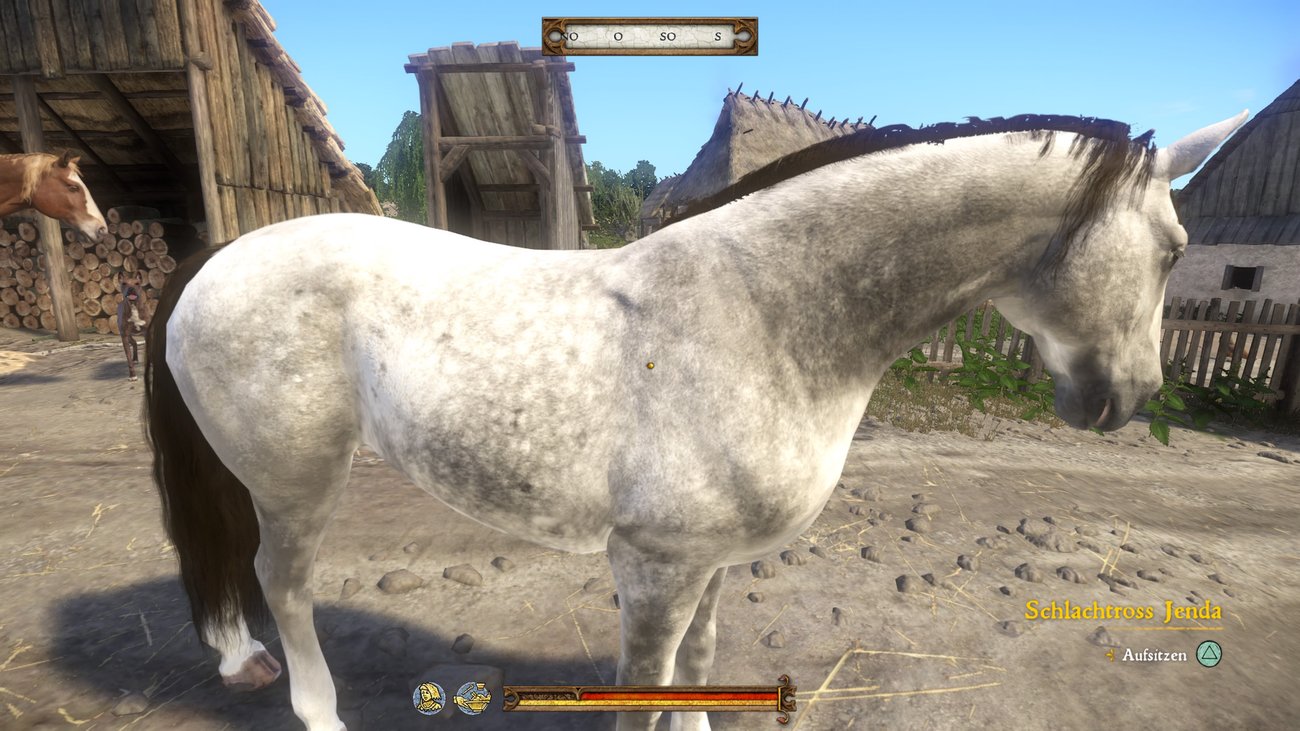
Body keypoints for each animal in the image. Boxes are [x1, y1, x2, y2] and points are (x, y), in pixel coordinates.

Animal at [144, 111, 1247, 731]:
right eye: (1171, 247)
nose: (1125, 399)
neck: (765, 313)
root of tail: (216, 256)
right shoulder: (655, 565)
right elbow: (645, 685)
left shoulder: (711, 559)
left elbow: (701, 669)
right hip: (297, 479)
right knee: (282, 581)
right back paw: (313, 707)